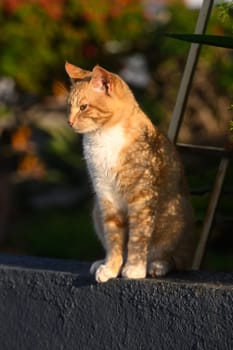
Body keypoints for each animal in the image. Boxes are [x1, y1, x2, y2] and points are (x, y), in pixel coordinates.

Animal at [64, 62, 194, 282]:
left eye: (83, 107)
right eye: (69, 106)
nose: (69, 122)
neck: (103, 138)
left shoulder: (141, 196)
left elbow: (138, 237)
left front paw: (134, 268)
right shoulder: (106, 196)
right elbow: (114, 238)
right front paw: (111, 267)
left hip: (175, 216)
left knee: (174, 258)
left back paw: (157, 265)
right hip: (96, 211)